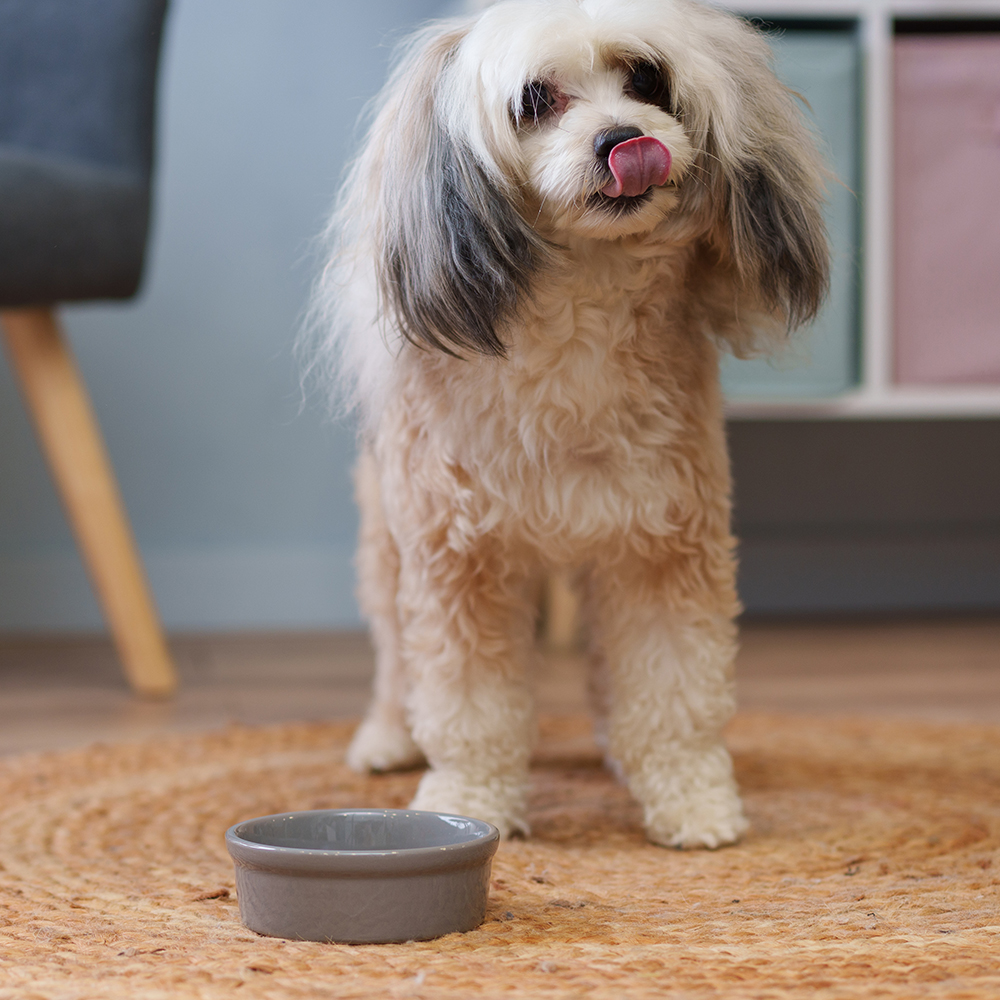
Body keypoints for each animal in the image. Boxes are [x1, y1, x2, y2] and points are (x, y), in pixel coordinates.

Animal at [311, 0, 828, 848]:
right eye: (534, 100)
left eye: (647, 79)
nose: (624, 141)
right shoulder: (460, 563)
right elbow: (468, 707)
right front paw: (470, 799)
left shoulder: (663, 548)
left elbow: (675, 690)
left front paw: (691, 799)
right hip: (386, 542)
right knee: (393, 657)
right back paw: (386, 736)